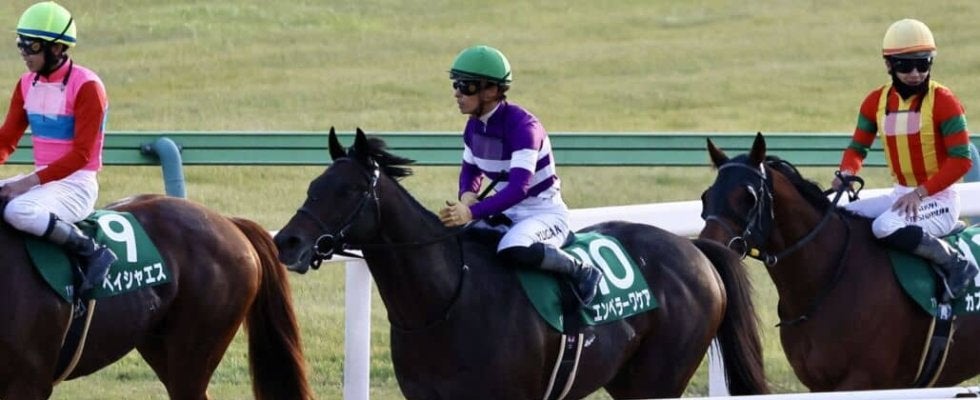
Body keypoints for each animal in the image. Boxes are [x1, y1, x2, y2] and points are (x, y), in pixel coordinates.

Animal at [272, 128, 768, 399]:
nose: (286, 242)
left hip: (659, 378)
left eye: (348, 190)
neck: (446, 299)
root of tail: (696, 251)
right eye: (313, 185)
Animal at [699, 132, 980, 391]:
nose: (707, 249)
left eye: (749, 197)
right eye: (706, 196)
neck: (829, 278)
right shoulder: (816, 383)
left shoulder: (862, 380)